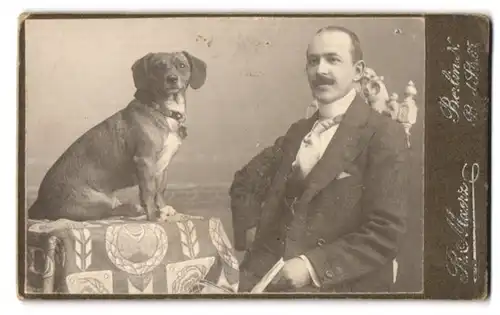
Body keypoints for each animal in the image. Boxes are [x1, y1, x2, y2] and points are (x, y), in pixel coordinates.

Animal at [28, 51, 207, 222]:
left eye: (182, 65)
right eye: (158, 67)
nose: (172, 79)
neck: (163, 110)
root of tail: (39, 203)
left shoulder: (163, 166)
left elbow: (160, 190)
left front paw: (163, 209)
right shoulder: (145, 161)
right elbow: (148, 192)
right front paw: (153, 216)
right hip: (98, 200)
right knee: (108, 212)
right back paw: (133, 209)